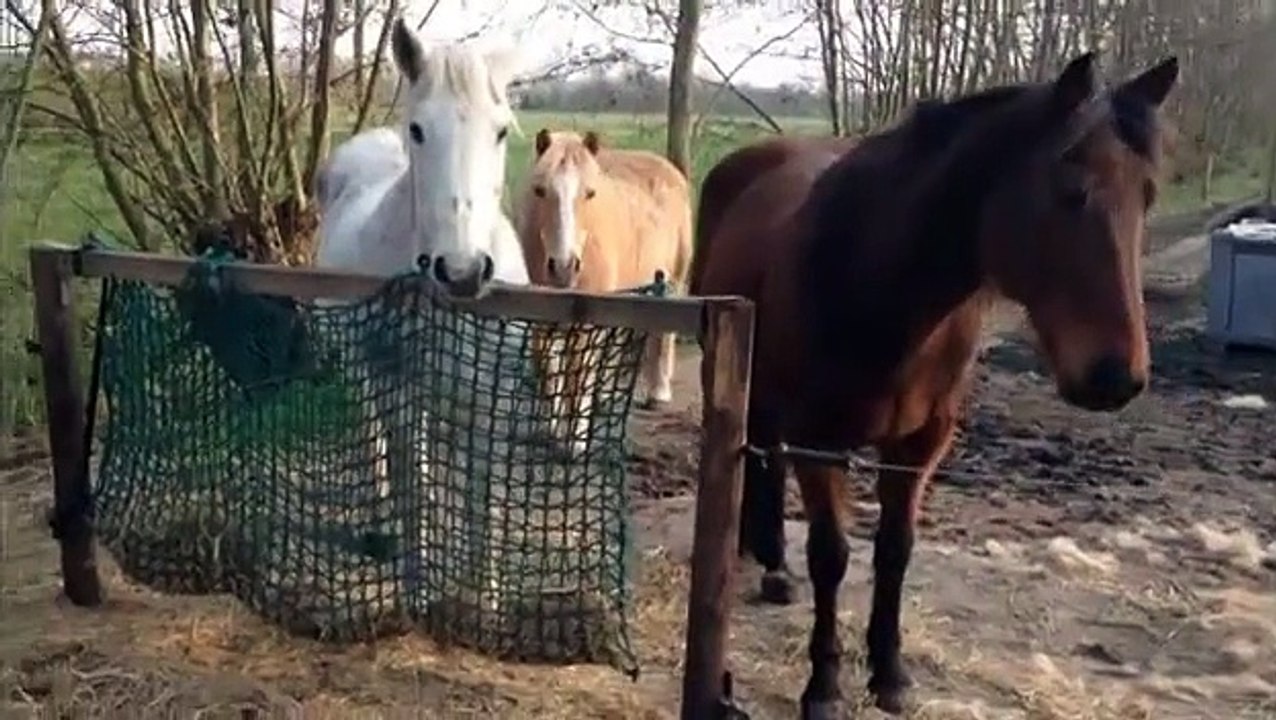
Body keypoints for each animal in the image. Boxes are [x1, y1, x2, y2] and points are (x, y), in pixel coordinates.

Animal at [515, 128, 693, 453]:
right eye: (540, 190)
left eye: (590, 193)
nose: (563, 267)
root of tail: (668, 168)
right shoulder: (543, 318)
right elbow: (549, 367)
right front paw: (549, 428)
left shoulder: (586, 322)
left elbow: (578, 374)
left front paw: (575, 438)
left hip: (673, 280)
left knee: (663, 338)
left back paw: (658, 394)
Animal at [692, 52, 1179, 718]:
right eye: (1070, 192)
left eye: (1148, 197)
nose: (1116, 377)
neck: (878, 288)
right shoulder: (823, 441)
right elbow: (832, 556)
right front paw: (824, 687)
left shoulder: (921, 443)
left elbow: (896, 550)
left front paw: (890, 674)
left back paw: (771, 563)